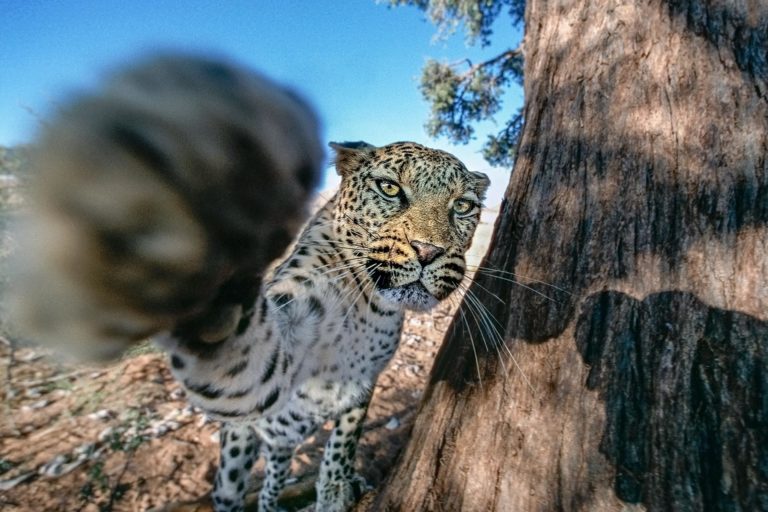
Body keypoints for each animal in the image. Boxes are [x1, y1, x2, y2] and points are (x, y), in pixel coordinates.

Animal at [7, 55, 486, 512]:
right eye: (389, 189)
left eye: (463, 206)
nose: (427, 251)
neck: (367, 303)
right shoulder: (279, 350)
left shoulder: (362, 384)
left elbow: (343, 443)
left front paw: (336, 488)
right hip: (236, 452)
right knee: (233, 488)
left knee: (275, 475)